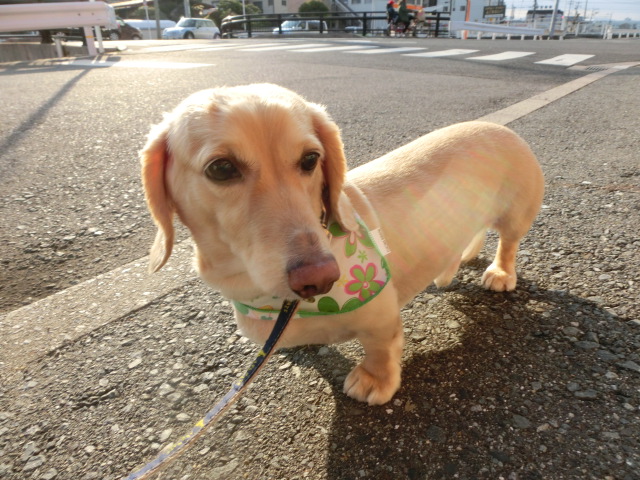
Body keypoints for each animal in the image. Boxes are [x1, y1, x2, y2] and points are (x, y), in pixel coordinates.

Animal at [140, 83, 544, 405]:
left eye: (310, 159)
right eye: (221, 168)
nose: (319, 278)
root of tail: (499, 128)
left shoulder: (381, 319)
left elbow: (380, 350)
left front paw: (373, 382)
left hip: (516, 215)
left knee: (508, 244)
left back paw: (499, 273)